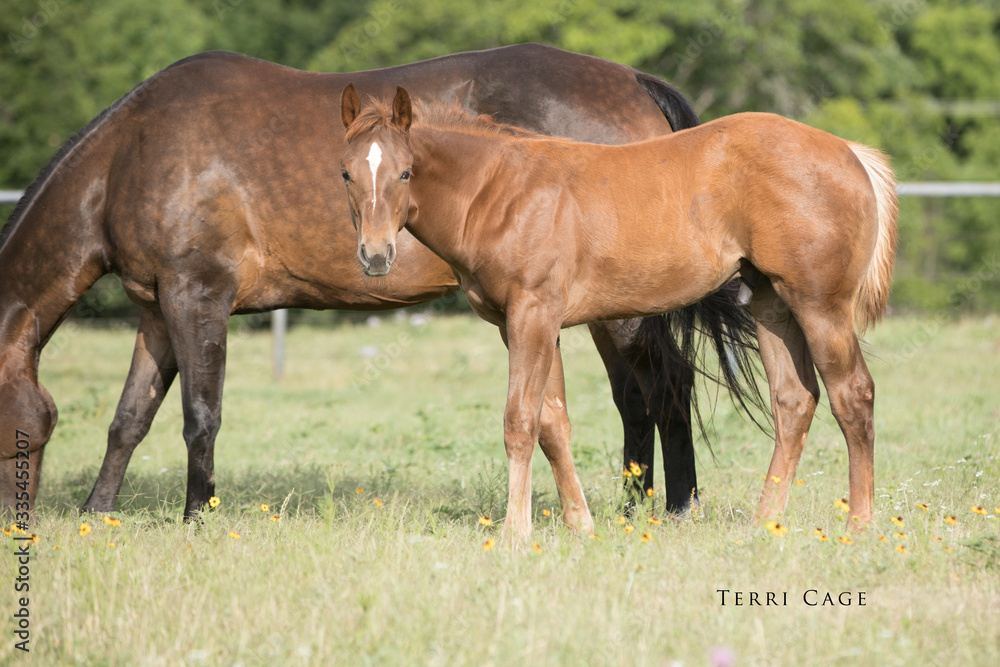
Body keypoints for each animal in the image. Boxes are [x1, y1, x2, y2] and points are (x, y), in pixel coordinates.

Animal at [0, 44, 756, 520]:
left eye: (16, 434)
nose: (17, 525)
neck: (135, 150)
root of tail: (634, 82)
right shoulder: (157, 311)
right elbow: (129, 418)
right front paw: (99, 512)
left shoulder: (197, 298)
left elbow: (199, 415)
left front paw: (196, 515)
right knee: (635, 399)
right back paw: (631, 506)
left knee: (666, 387)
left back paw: (675, 508)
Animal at [342, 87, 900, 536]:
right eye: (346, 173)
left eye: (406, 172)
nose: (375, 256)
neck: (501, 192)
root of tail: (850, 152)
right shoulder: (526, 324)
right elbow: (553, 422)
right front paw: (581, 525)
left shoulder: (533, 315)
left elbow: (520, 420)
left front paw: (515, 533)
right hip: (772, 305)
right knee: (794, 401)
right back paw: (764, 522)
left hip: (820, 305)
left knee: (854, 396)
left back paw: (859, 524)